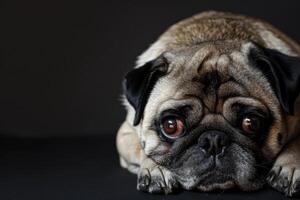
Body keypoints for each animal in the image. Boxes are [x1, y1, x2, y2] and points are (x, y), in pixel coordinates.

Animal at [116, 10, 300, 197]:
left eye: (251, 123)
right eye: (171, 126)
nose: (214, 141)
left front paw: (290, 166)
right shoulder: (125, 134)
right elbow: (142, 149)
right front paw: (155, 169)